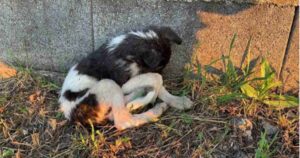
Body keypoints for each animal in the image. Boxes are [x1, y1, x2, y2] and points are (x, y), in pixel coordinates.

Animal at [58, 25, 193, 130]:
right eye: (159, 67)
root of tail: (71, 115)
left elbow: (158, 85)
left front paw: (177, 101)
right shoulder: (123, 82)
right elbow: (157, 78)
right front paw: (155, 93)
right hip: (107, 84)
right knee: (122, 122)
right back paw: (154, 111)